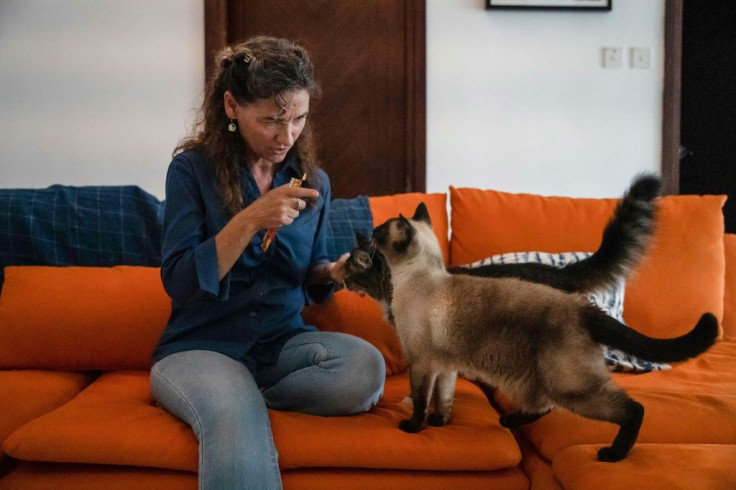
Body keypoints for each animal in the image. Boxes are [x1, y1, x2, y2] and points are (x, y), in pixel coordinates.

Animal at [348, 200, 716, 464]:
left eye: (380, 231)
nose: (369, 231)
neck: (417, 279)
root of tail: (579, 306)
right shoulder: (444, 366)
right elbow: (444, 399)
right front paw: (440, 424)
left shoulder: (422, 363)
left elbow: (421, 401)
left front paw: (414, 428)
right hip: (536, 379)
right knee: (544, 406)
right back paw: (508, 422)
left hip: (566, 384)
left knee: (631, 409)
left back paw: (612, 454)